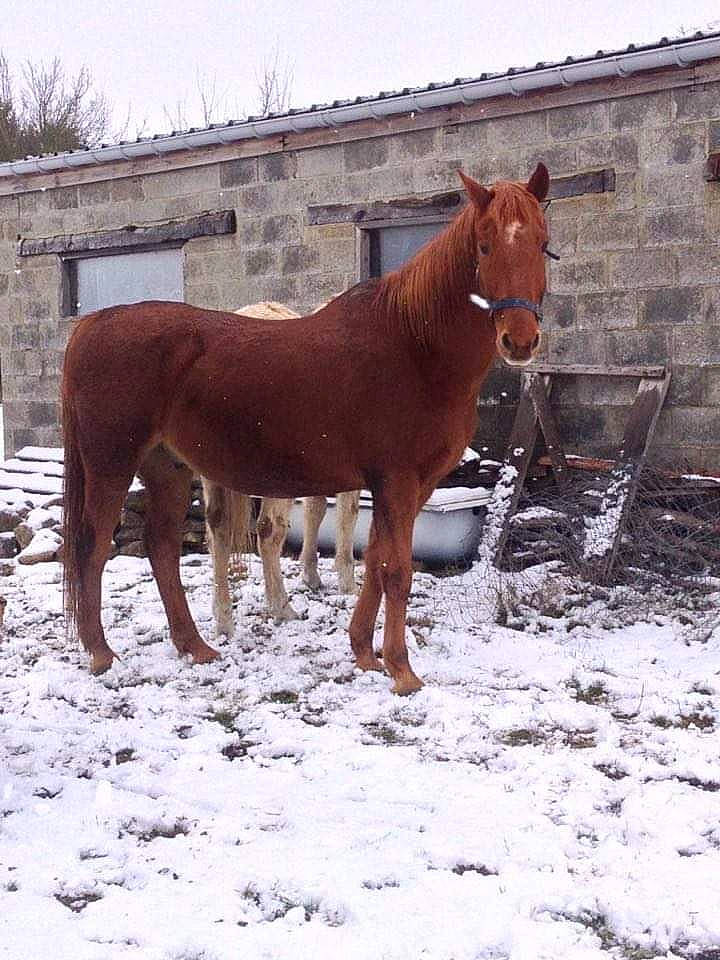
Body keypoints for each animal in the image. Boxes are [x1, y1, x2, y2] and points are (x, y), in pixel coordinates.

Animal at [202, 300, 360, 636]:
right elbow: (347, 514)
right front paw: (347, 582)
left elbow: (316, 510)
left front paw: (311, 575)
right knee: (267, 532)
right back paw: (281, 607)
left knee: (218, 528)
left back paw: (223, 620)